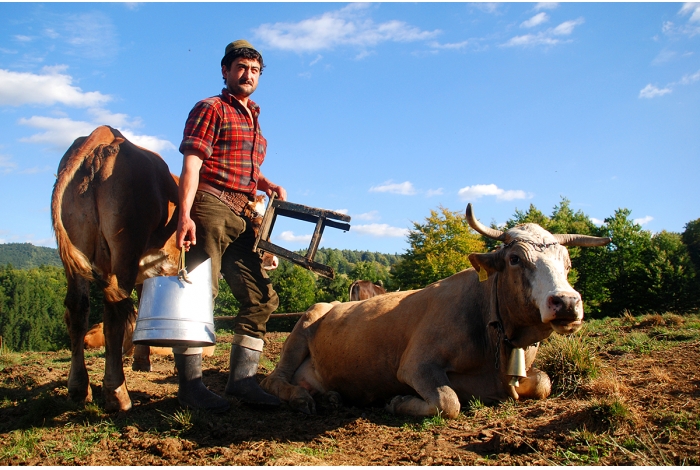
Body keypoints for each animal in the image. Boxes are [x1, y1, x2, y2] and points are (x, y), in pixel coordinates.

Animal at [260, 204, 608, 416]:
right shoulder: (415, 364)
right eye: (515, 259)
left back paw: (329, 397)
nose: (566, 302)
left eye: (568, 263)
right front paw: (398, 401)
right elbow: (448, 401)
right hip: (300, 330)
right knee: (274, 380)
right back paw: (302, 397)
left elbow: (544, 383)